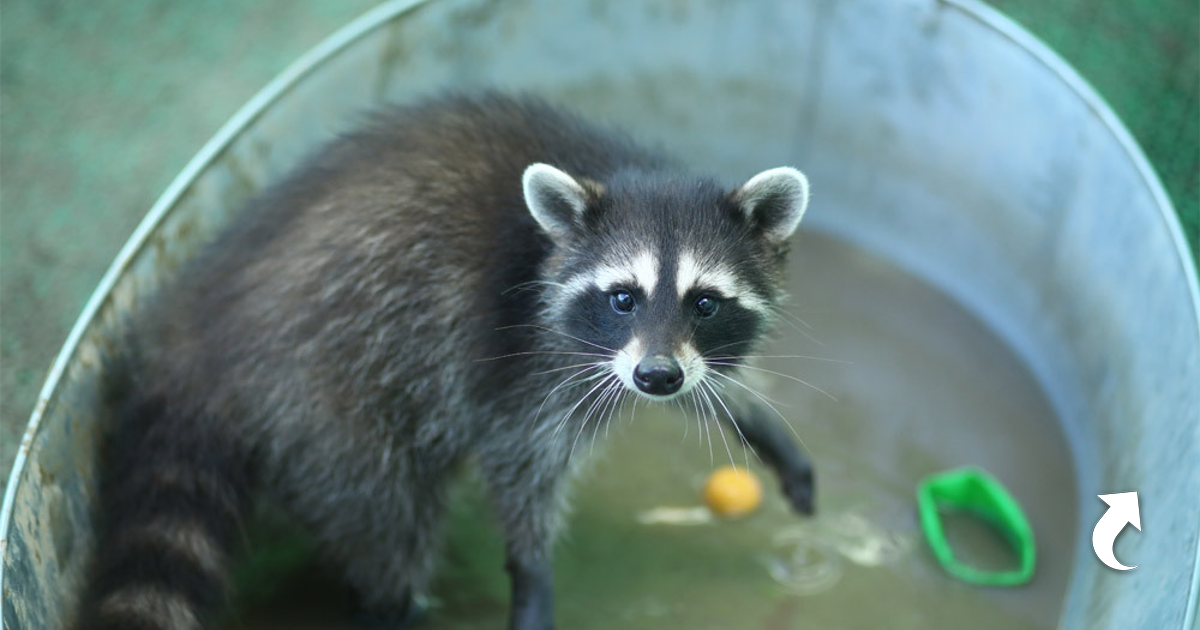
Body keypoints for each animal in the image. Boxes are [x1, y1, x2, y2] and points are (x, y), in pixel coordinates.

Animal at [82, 92, 816, 628]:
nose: (657, 377)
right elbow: (520, 467)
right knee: (388, 520)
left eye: (705, 303)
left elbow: (705, 382)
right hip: (326, 398)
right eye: (622, 297)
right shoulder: (522, 362)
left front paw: (758, 419)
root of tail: (196, 336)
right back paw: (394, 606)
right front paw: (532, 570)